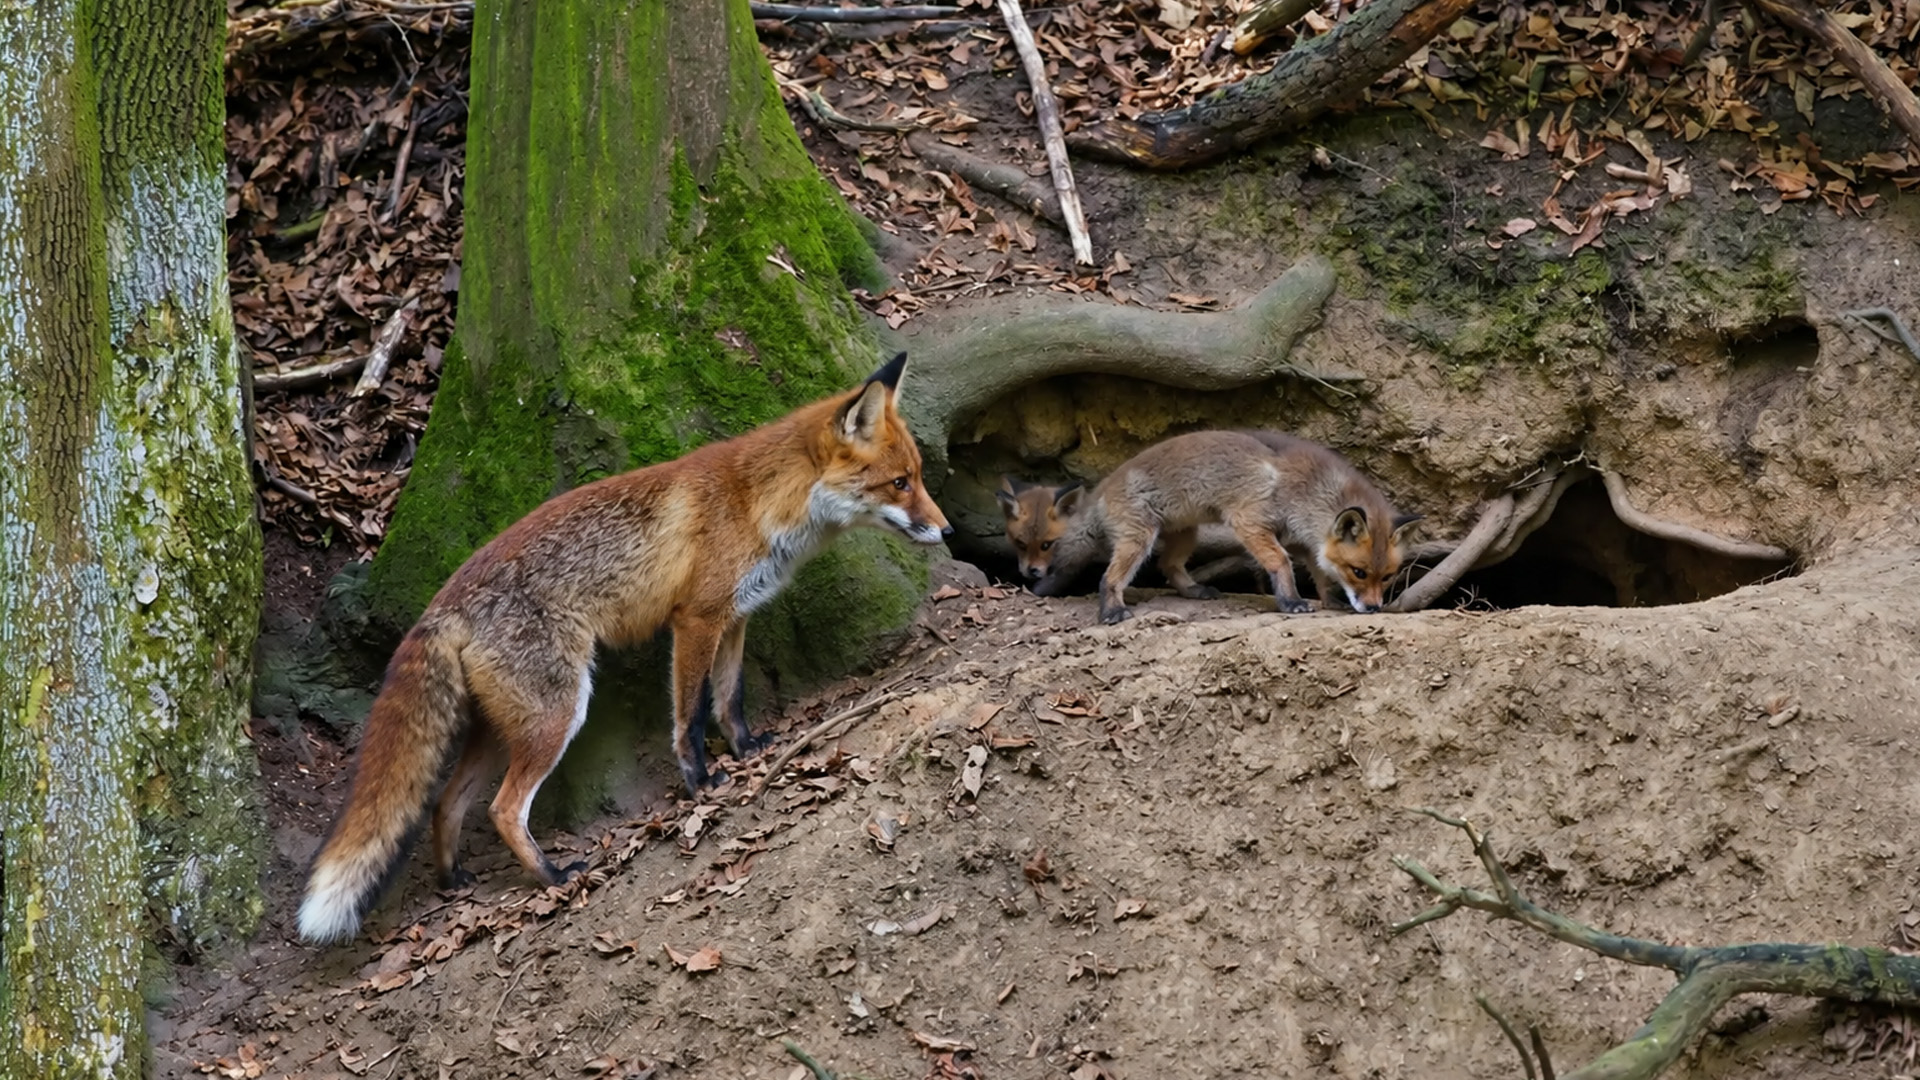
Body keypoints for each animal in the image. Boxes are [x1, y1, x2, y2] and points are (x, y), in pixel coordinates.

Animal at [297, 352, 951, 944]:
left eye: (919, 476)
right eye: (900, 483)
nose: (946, 530)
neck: (757, 500)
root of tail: (443, 602)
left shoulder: (736, 616)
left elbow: (731, 698)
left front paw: (747, 750)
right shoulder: (695, 620)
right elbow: (690, 715)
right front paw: (701, 783)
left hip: (500, 728)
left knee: (447, 803)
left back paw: (455, 879)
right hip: (558, 714)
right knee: (502, 808)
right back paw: (553, 876)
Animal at [996, 429, 1417, 623]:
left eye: (1388, 576)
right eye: (1359, 571)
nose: (1374, 608)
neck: (1306, 489)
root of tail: (1100, 490)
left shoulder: (1303, 539)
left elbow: (1320, 572)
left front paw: (1328, 600)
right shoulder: (1250, 521)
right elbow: (1280, 563)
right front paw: (1291, 601)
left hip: (1186, 533)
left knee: (1168, 566)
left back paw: (1193, 590)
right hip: (1139, 539)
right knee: (1109, 577)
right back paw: (1112, 609)